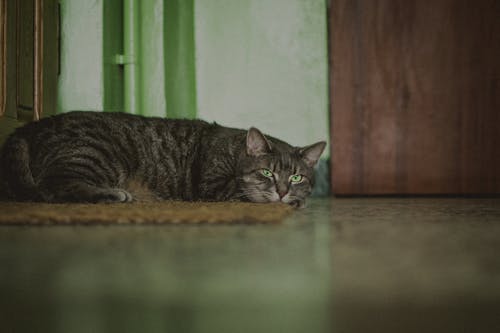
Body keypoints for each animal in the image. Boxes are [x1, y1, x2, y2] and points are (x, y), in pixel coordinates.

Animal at [0, 111, 326, 206]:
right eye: (267, 173)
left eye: (296, 176)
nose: (282, 191)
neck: (234, 153)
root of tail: (31, 125)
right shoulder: (214, 187)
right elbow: (248, 194)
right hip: (95, 153)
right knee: (54, 188)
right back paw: (113, 194)